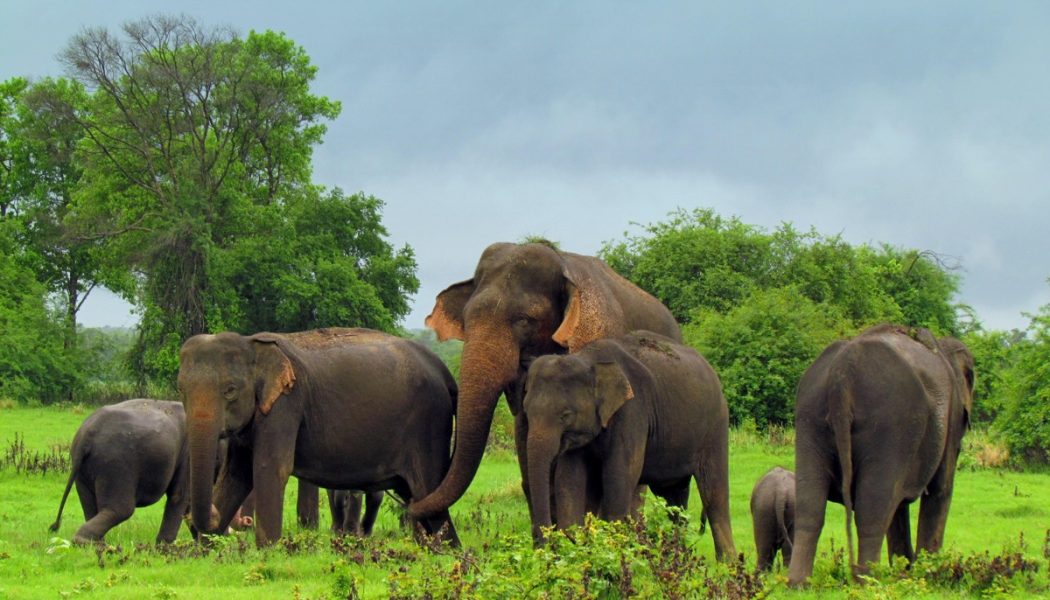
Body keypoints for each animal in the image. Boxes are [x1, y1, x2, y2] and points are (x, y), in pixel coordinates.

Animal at [49, 399, 189, 544]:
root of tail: (87, 434)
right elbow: (179, 495)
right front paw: (165, 546)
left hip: (83, 469)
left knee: (90, 506)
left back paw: (96, 544)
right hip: (117, 463)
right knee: (121, 510)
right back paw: (89, 542)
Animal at [178, 327, 459, 547]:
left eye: (230, 391)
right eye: (181, 389)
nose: (213, 516)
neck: (251, 343)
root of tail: (444, 370)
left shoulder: (286, 403)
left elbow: (271, 468)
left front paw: (267, 552)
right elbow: (237, 475)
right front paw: (205, 550)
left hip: (428, 427)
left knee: (428, 490)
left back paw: (448, 551)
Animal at [520, 331, 736, 560]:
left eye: (565, 415)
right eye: (526, 410)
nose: (544, 550)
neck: (588, 359)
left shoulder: (632, 412)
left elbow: (618, 478)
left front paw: (611, 555)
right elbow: (569, 481)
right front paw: (578, 551)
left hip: (716, 425)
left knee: (715, 493)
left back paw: (727, 563)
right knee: (673, 497)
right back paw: (676, 556)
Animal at [788, 324, 975, 586]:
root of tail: (842, 374)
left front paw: (906, 571)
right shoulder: (953, 414)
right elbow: (940, 490)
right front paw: (927, 575)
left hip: (809, 417)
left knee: (810, 505)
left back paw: (799, 584)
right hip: (890, 423)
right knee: (872, 508)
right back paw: (867, 581)